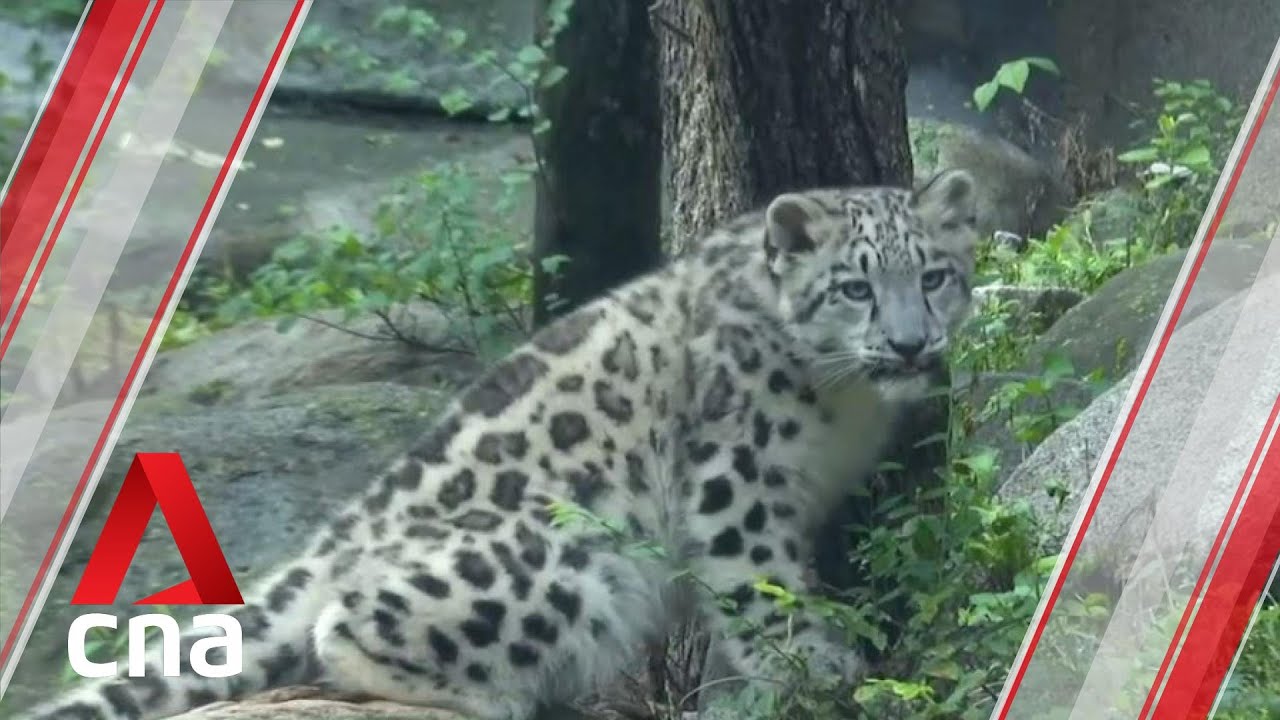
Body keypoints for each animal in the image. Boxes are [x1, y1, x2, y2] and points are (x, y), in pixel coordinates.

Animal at [22, 168, 980, 720]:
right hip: (563, 559)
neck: (844, 407)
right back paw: (494, 693)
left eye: (936, 274)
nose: (909, 344)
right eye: (853, 286)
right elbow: (761, 580)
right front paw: (825, 668)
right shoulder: (734, 476)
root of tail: (335, 539)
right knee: (346, 630)